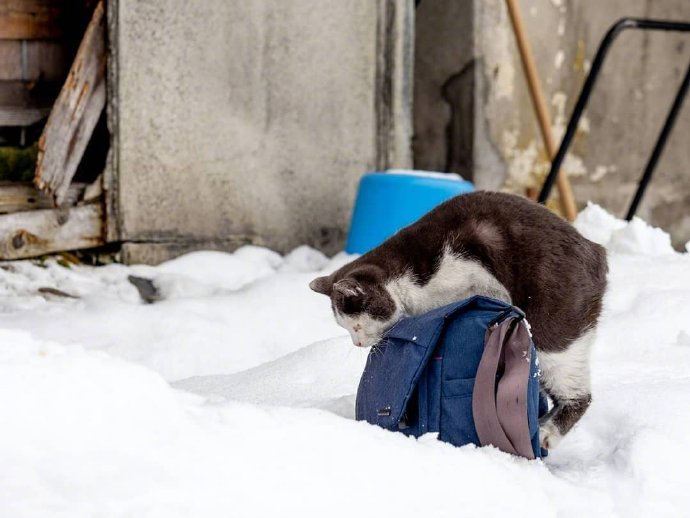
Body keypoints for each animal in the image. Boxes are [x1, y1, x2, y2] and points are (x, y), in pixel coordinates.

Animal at [310, 192, 604, 450]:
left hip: (553, 332)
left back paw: (546, 433)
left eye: (357, 325)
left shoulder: (471, 268)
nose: (357, 343)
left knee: (580, 395)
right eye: (345, 328)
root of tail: (597, 253)